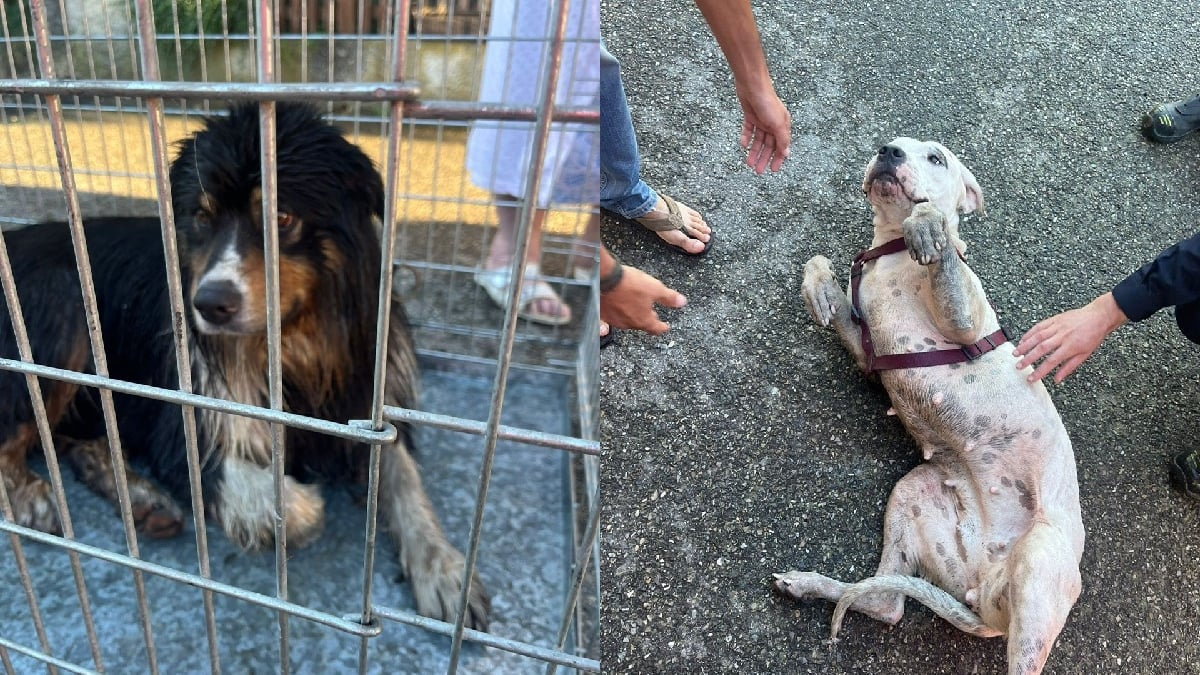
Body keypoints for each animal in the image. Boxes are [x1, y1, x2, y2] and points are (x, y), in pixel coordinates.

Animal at [1, 102, 487, 629]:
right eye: (200, 217)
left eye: (282, 216)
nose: (209, 304)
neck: (291, 345)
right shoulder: (184, 421)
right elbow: (293, 505)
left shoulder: (368, 404)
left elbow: (405, 482)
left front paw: (446, 570)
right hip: (61, 296)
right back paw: (33, 498)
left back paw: (142, 500)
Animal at [777, 136, 1089, 672]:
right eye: (892, 142)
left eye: (937, 158)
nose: (889, 151)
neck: (891, 253)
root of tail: (985, 594)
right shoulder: (867, 352)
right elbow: (821, 270)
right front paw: (817, 285)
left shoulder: (965, 324)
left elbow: (936, 237)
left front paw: (927, 224)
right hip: (913, 493)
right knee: (885, 602)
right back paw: (808, 585)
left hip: (1039, 559)